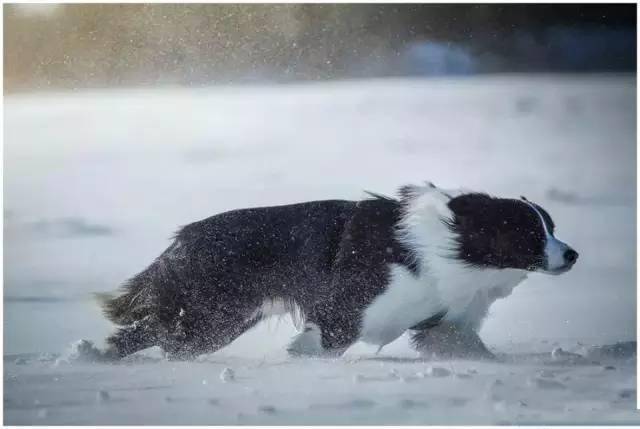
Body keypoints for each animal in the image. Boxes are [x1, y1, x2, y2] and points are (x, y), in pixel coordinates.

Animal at [97, 182, 576, 360]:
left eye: (551, 226)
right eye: (531, 233)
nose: (572, 255)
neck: (454, 250)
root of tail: (183, 238)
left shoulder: (445, 323)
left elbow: (468, 345)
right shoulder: (347, 309)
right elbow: (328, 340)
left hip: (219, 322)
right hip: (212, 317)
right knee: (147, 336)